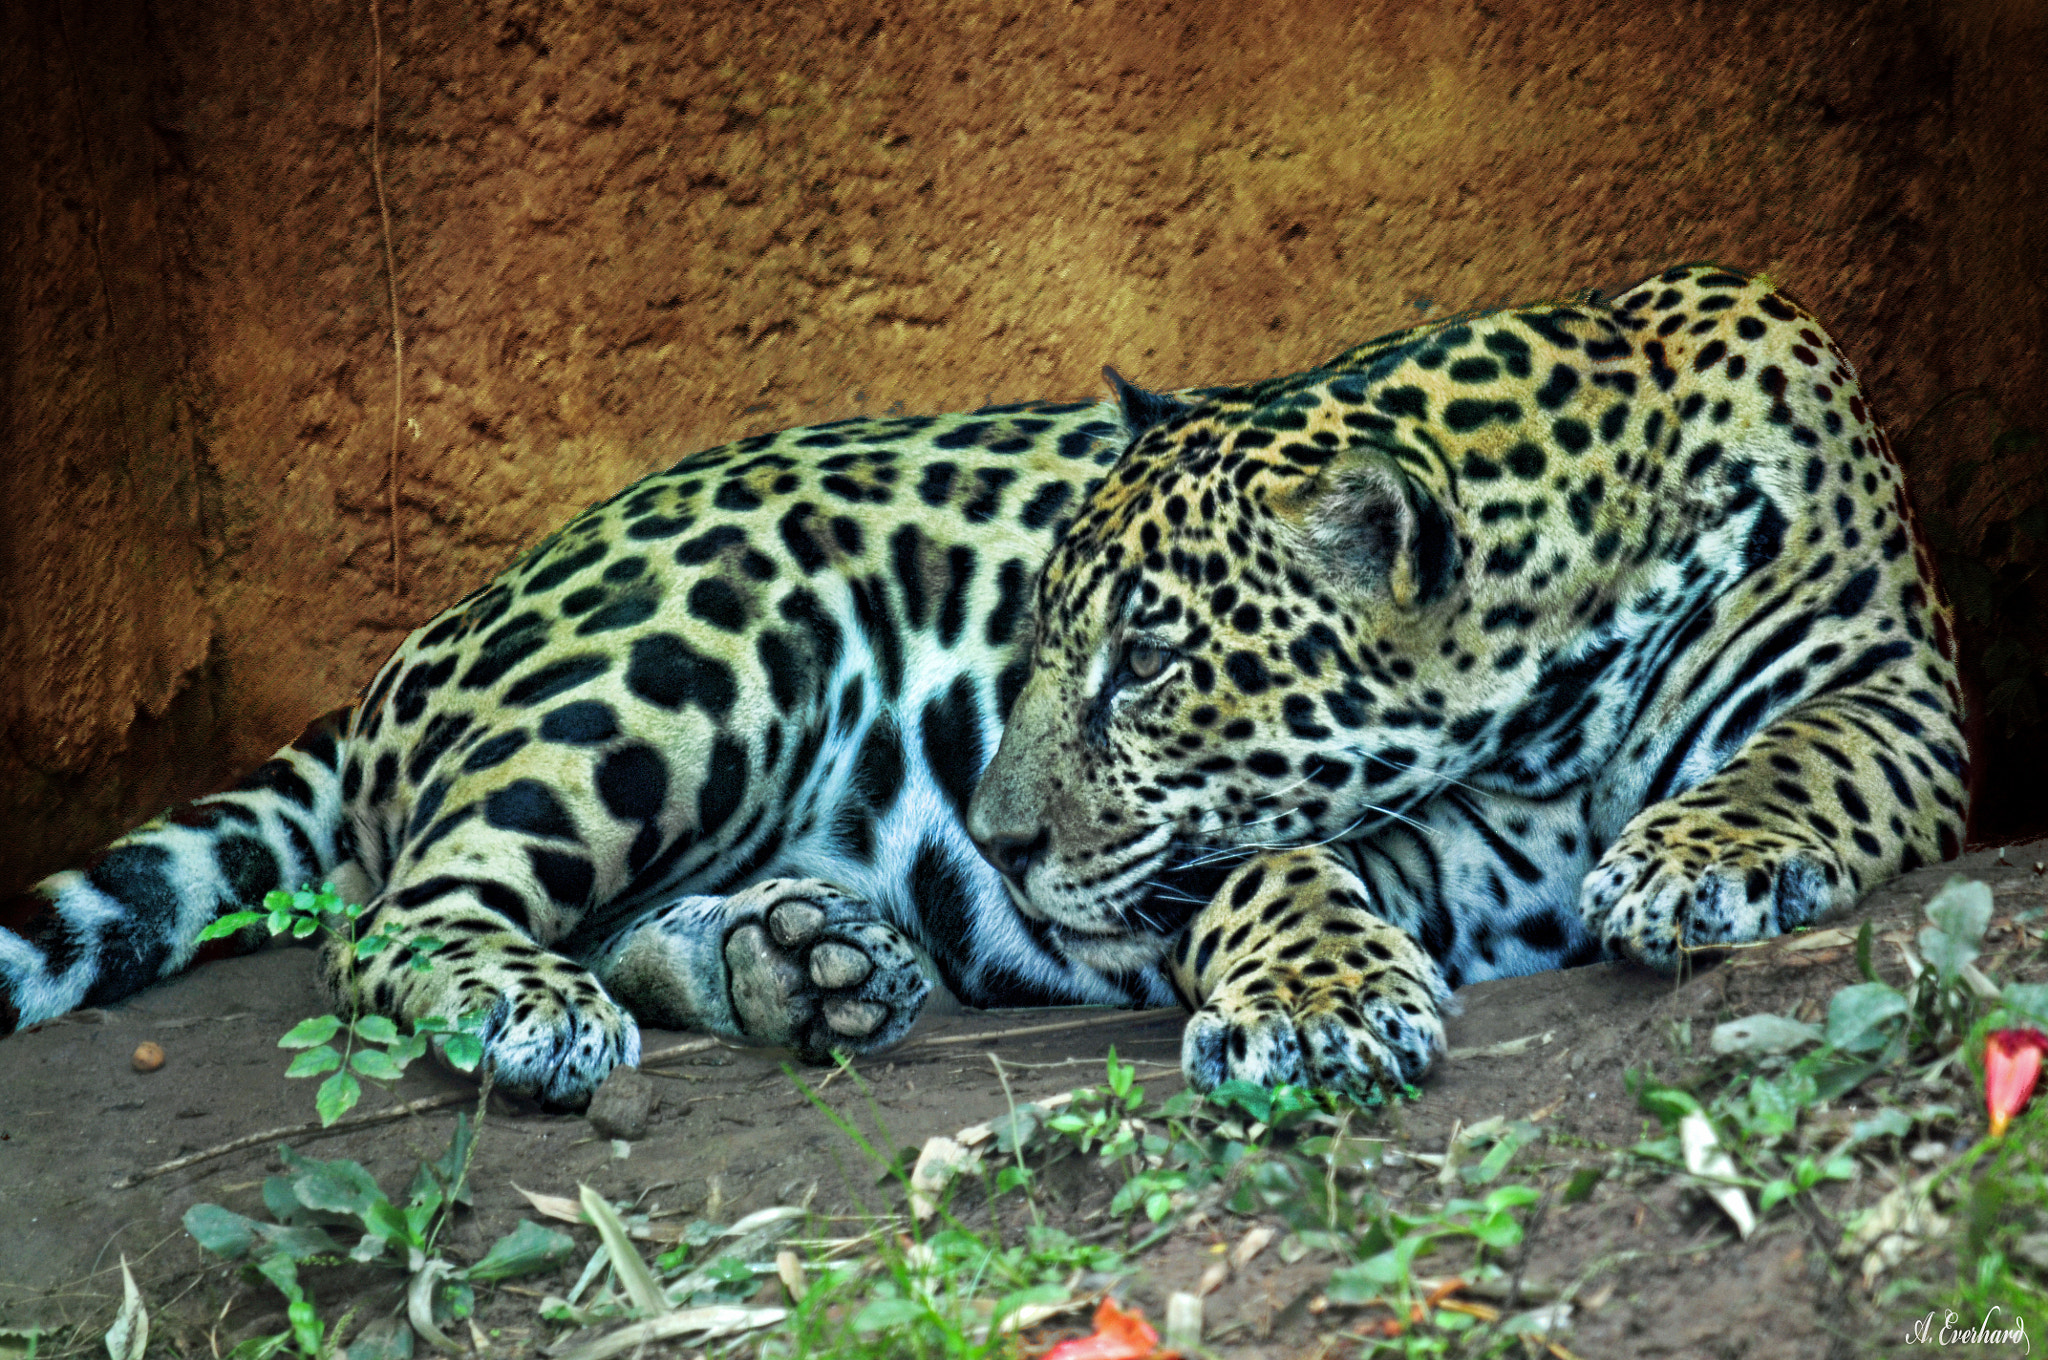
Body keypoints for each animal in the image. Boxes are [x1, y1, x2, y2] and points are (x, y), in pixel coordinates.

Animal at [1, 263, 1966, 1108]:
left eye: (1150, 661)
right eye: (1038, 643)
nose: (1000, 844)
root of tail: (440, 624)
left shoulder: (1898, 695)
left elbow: (1800, 756)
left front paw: (1698, 854)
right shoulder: (1397, 840)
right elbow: (1276, 869)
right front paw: (1320, 1004)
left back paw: (799, 967)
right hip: (695, 638)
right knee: (406, 913)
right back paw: (543, 1010)